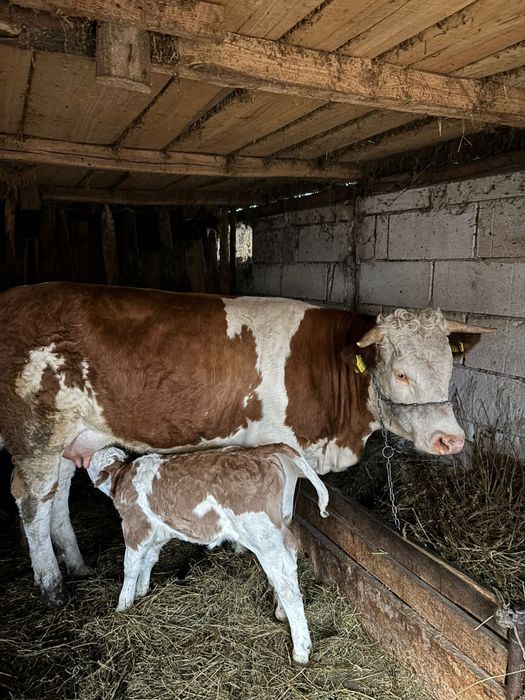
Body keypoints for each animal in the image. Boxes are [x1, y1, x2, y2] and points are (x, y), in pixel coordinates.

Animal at [0, 282, 494, 606]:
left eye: (449, 368)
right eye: (401, 373)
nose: (450, 440)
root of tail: (15, 297)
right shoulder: (284, 448)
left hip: (71, 437)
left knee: (58, 495)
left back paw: (77, 564)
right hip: (35, 433)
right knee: (32, 503)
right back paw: (52, 587)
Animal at [84, 443, 329, 664]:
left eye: (91, 462)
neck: (124, 474)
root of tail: (264, 451)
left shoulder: (135, 525)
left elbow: (131, 566)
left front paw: (123, 605)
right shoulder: (159, 529)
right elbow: (150, 559)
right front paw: (142, 590)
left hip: (263, 535)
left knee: (287, 584)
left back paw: (301, 649)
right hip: (279, 525)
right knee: (287, 564)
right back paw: (280, 612)